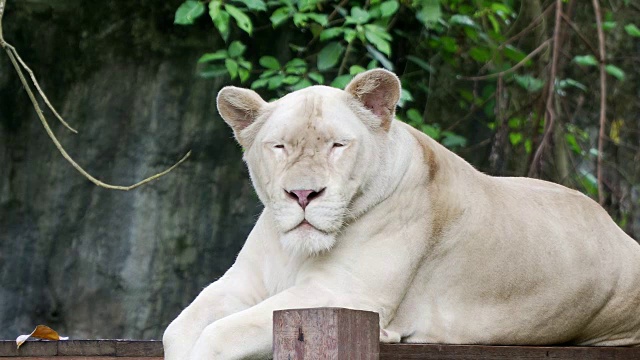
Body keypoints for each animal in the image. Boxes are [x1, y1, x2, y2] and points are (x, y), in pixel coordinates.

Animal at [164, 69, 640, 358]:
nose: (302, 194)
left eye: (337, 145)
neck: (296, 250)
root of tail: (619, 231)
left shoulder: (342, 293)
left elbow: (219, 334)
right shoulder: (241, 284)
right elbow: (178, 329)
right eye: (279, 146)